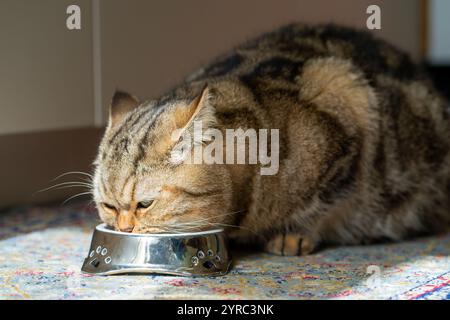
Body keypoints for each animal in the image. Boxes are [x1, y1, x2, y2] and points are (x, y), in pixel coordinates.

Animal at [93, 23, 448, 255]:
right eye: (108, 206)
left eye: (145, 204)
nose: (124, 229)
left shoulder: (345, 99)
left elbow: (324, 204)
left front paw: (294, 234)